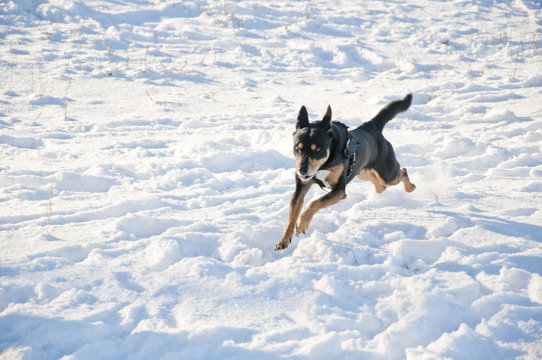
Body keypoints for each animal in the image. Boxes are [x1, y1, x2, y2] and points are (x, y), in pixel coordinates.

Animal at [276, 93, 416, 250]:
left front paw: (302, 224)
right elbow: (292, 214)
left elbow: (314, 203)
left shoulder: (339, 190)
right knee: (380, 185)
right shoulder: (301, 187)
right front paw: (283, 240)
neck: (324, 165)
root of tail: (371, 127)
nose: (302, 170)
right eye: (297, 148)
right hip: (362, 172)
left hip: (387, 173)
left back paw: (410, 187)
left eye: (317, 149)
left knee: (401, 172)